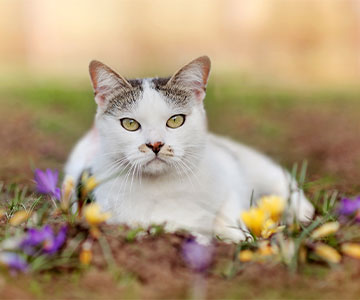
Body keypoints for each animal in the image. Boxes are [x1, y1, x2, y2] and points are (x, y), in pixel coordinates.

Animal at [64, 55, 312, 241]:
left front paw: (238, 236)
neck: (160, 189)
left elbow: (228, 211)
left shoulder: (228, 172)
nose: (155, 144)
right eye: (130, 124)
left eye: (175, 120)